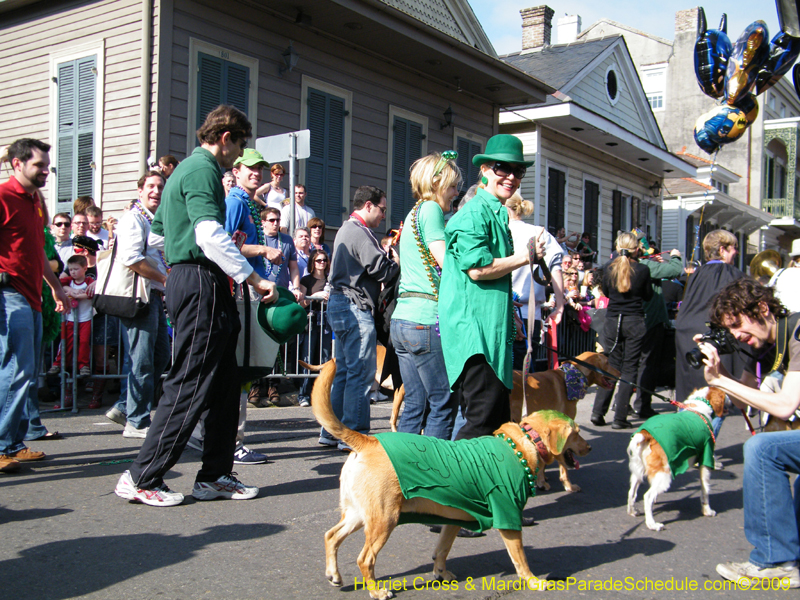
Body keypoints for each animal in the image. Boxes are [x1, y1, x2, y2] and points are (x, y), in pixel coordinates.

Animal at [310, 358, 592, 596]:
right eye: (576, 432)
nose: (589, 447)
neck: (522, 445)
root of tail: (368, 441)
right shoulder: (508, 518)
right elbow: (520, 559)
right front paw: (533, 581)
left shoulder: (455, 519)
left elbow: (442, 550)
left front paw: (441, 573)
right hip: (384, 519)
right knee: (365, 558)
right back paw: (377, 591)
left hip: (359, 514)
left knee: (331, 536)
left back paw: (334, 574)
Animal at [510, 352, 616, 492]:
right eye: (607, 362)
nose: (619, 373)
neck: (572, 377)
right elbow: (563, 463)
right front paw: (567, 485)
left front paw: (541, 479)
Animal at [628, 384, 728, 528]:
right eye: (725, 395)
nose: (732, 402)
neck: (698, 408)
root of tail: (645, 434)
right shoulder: (706, 458)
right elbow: (705, 490)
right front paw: (707, 510)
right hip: (664, 475)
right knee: (647, 496)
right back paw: (652, 524)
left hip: (638, 471)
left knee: (632, 492)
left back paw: (632, 511)